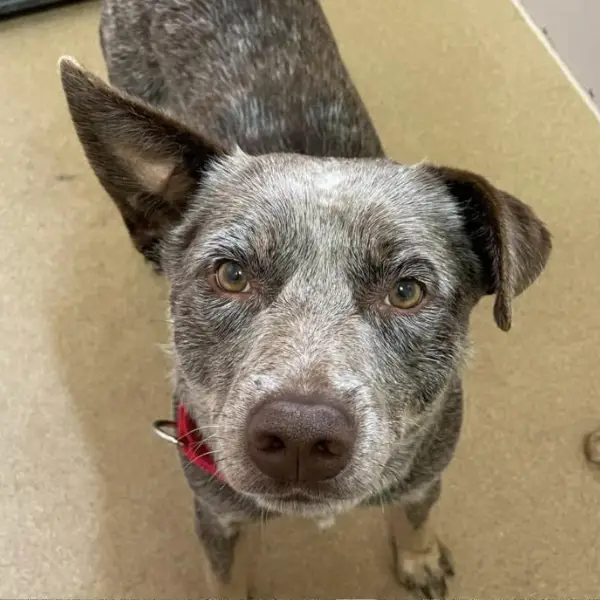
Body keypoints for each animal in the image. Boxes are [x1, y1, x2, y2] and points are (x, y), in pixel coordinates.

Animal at [58, 1, 552, 596]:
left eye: (407, 290)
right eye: (231, 275)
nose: (299, 435)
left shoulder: (426, 471)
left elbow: (413, 515)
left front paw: (419, 557)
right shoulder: (218, 514)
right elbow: (226, 579)